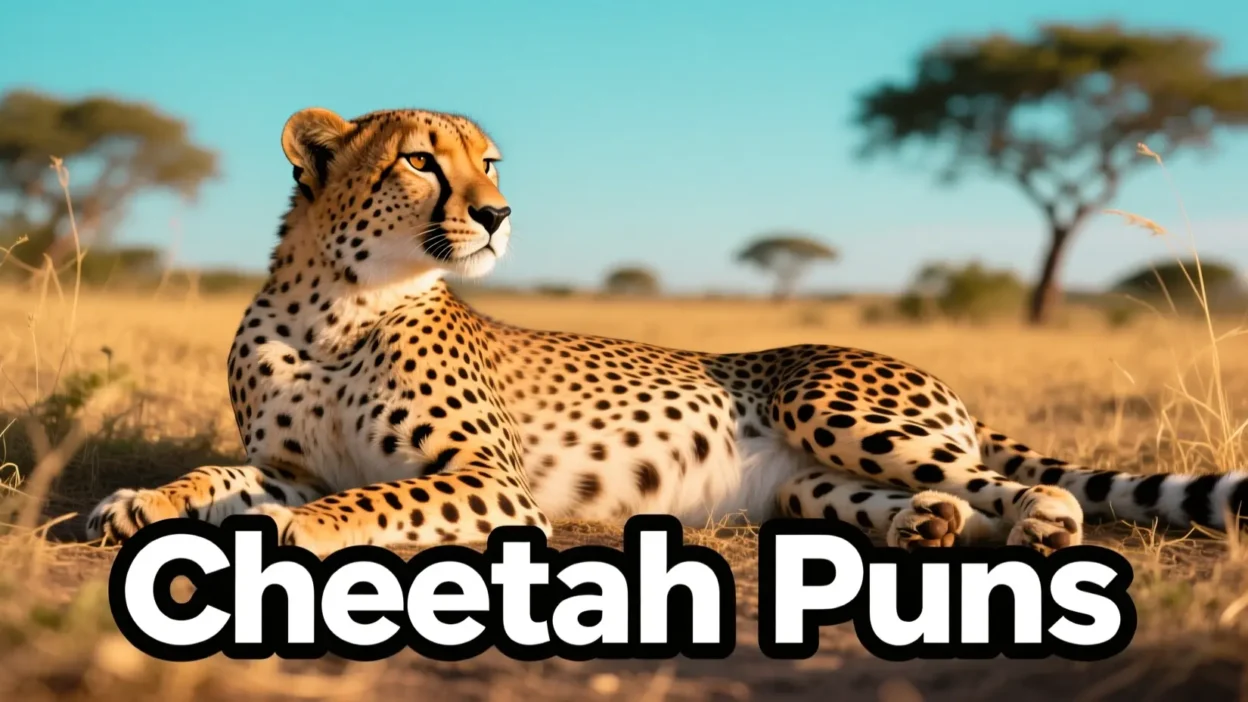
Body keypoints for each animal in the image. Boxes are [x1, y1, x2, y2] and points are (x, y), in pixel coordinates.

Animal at [86, 106, 1248, 556]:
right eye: (421, 159)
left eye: (488, 161)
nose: (499, 214)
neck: (338, 306)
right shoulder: (285, 463)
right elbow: (215, 473)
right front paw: (140, 501)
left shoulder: (489, 482)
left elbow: (369, 498)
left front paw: (306, 536)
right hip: (803, 486)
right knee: (933, 500)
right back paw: (924, 529)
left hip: (831, 406)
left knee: (1014, 483)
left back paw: (1040, 521)